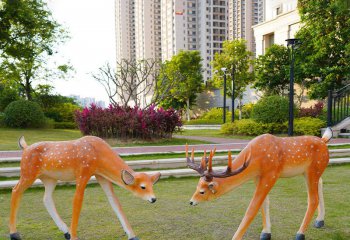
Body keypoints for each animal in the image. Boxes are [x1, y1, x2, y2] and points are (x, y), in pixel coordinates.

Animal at [9, 136, 160, 239]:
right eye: (143, 187)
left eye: (152, 185)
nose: (153, 199)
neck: (98, 155)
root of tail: (25, 147)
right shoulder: (83, 172)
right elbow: (77, 201)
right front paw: (75, 237)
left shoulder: (101, 176)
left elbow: (115, 202)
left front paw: (132, 235)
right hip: (28, 173)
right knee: (15, 190)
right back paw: (14, 234)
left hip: (50, 179)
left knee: (46, 199)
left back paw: (66, 232)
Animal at [187, 126, 332, 239]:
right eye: (196, 186)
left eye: (202, 191)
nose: (191, 202)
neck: (255, 159)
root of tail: (324, 141)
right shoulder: (257, 177)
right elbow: (264, 203)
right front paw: (266, 233)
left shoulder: (271, 174)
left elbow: (252, 207)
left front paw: (236, 237)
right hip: (312, 171)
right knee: (321, 183)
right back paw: (319, 221)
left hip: (314, 169)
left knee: (313, 199)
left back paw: (300, 234)